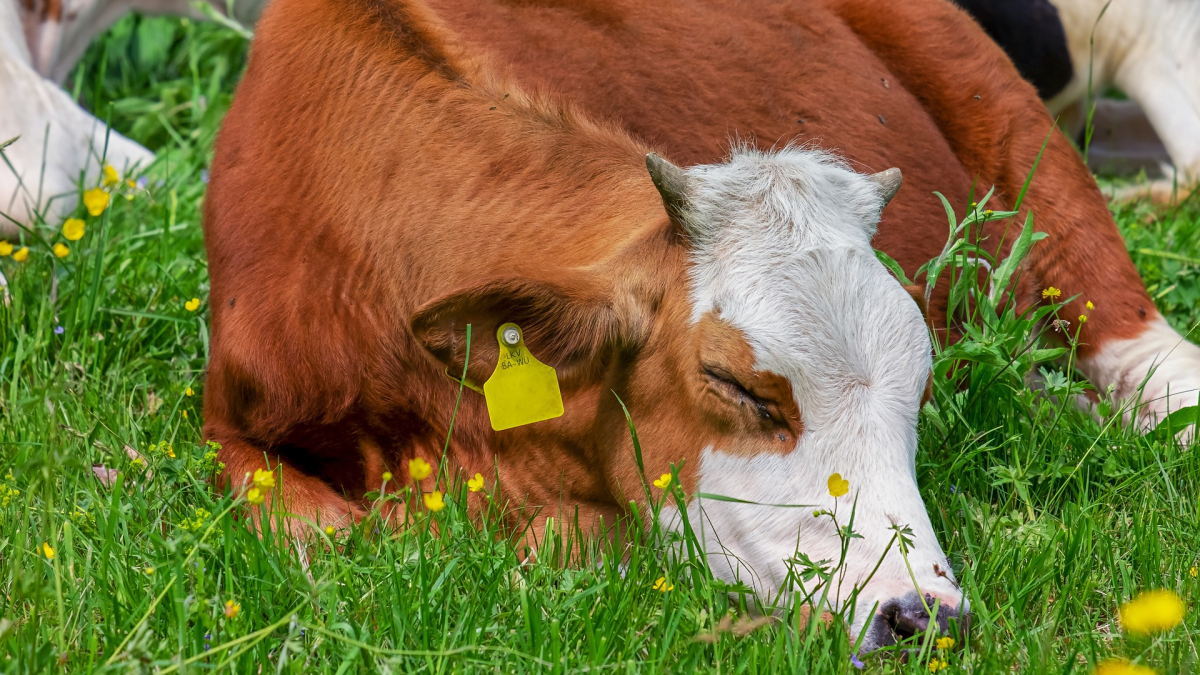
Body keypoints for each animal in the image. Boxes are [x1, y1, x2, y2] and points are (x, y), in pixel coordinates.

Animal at [204, 0, 1200, 653]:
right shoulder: (227, 420)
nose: (923, 615)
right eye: (734, 386)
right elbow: (320, 536)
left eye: (919, 389)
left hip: (1021, 128)